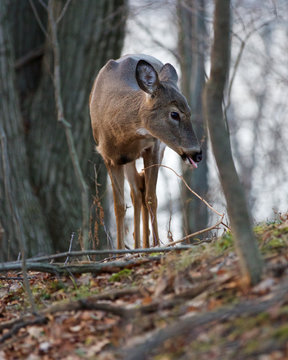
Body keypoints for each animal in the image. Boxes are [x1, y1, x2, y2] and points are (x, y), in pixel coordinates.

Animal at [90, 54, 202, 250]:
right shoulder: (108, 156)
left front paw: (156, 246)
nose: (197, 153)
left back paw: (143, 245)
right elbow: (119, 206)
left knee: (141, 190)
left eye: (189, 112)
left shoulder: (153, 146)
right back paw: (136, 246)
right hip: (126, 160)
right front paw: (119, 251)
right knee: (136, 191)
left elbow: (152, 198)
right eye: (174, 114)